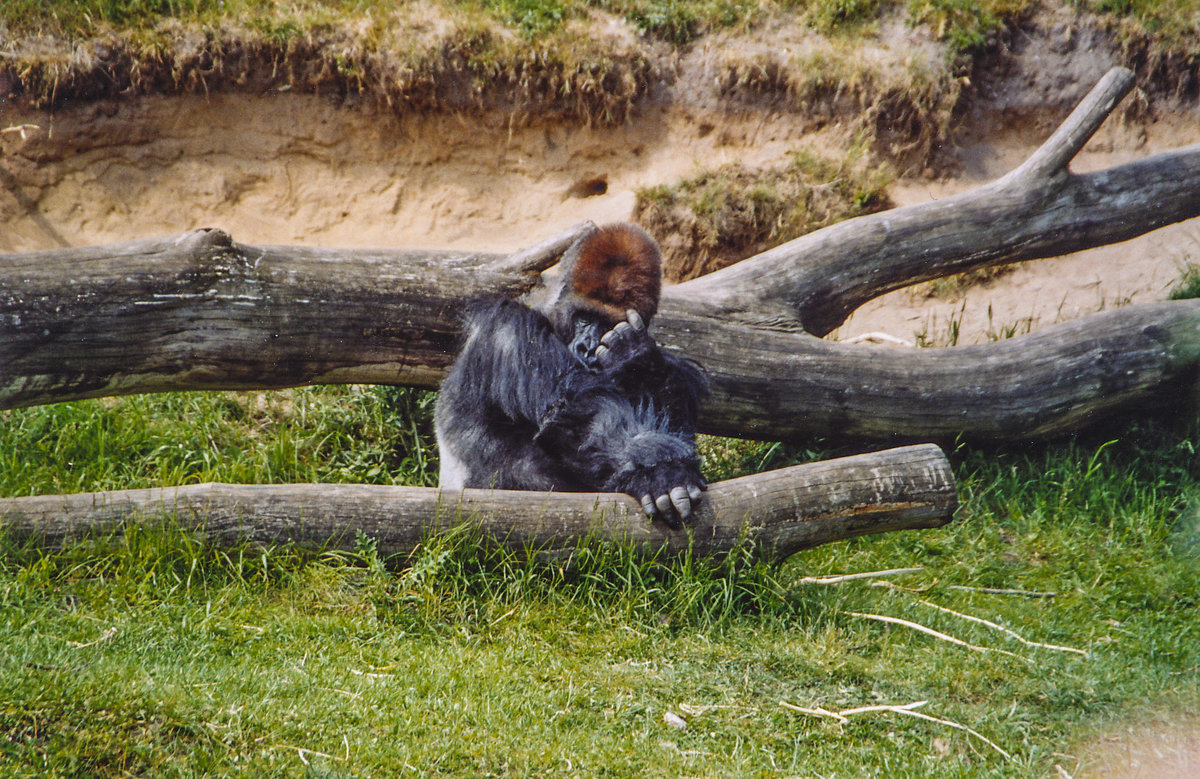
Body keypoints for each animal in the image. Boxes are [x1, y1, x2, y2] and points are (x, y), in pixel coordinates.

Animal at [436, 222, 705, 525]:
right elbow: (573, 412)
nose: (587, 349)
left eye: (607, 324)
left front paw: (638, 359)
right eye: (584, 318)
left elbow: (677, 412)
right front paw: (658, 471)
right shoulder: (509, 326)